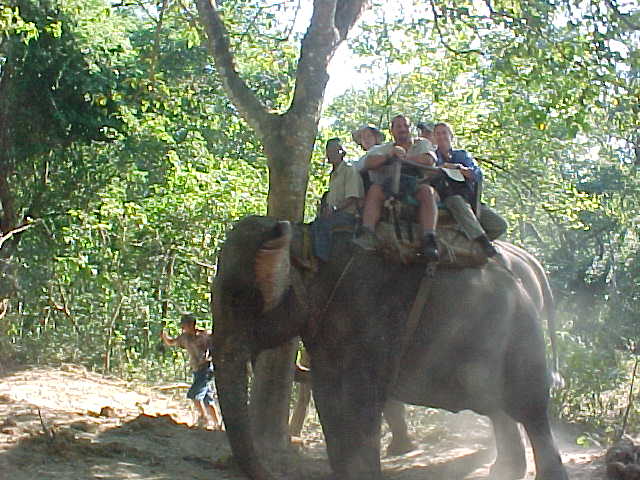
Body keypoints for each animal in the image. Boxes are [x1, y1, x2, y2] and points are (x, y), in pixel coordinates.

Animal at [212, 217, 568, 480]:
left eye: (240, 299)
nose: (271, 472)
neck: (308, 239)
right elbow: (329, 398)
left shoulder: (370, 312)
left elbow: (360, 399)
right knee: (499, 408)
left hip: (519, 343)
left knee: (531, 413)